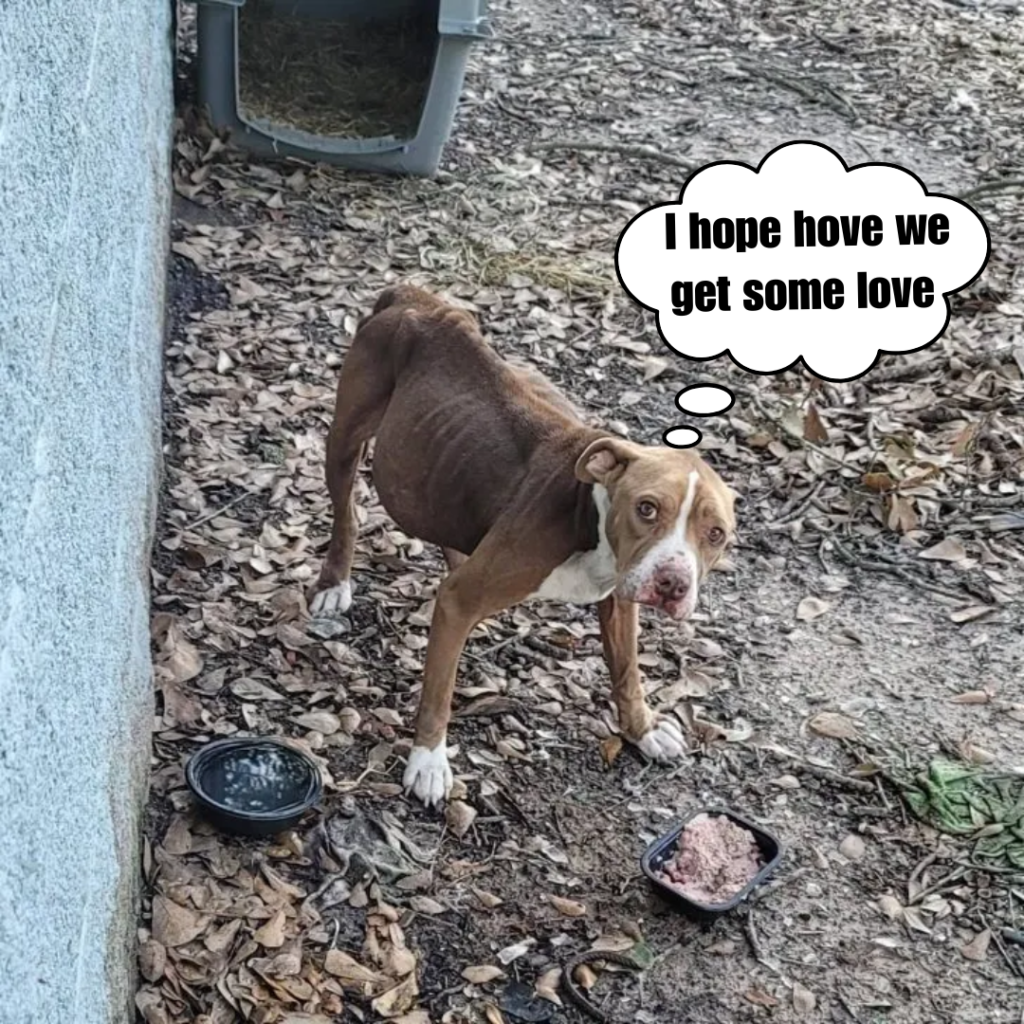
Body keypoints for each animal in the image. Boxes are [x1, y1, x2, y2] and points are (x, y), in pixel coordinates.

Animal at [311, 284, 737, 802]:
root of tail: (416, 295)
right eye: (648, 508)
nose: (674, 582)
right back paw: (335, 580)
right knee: (347, 513)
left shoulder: (620, 598)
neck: (588, 515)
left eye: (715, 535)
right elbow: (439, 691)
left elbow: (628, 671)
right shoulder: (462, 599)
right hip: (346, 438)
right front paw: (429, 761)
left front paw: (643, 729)